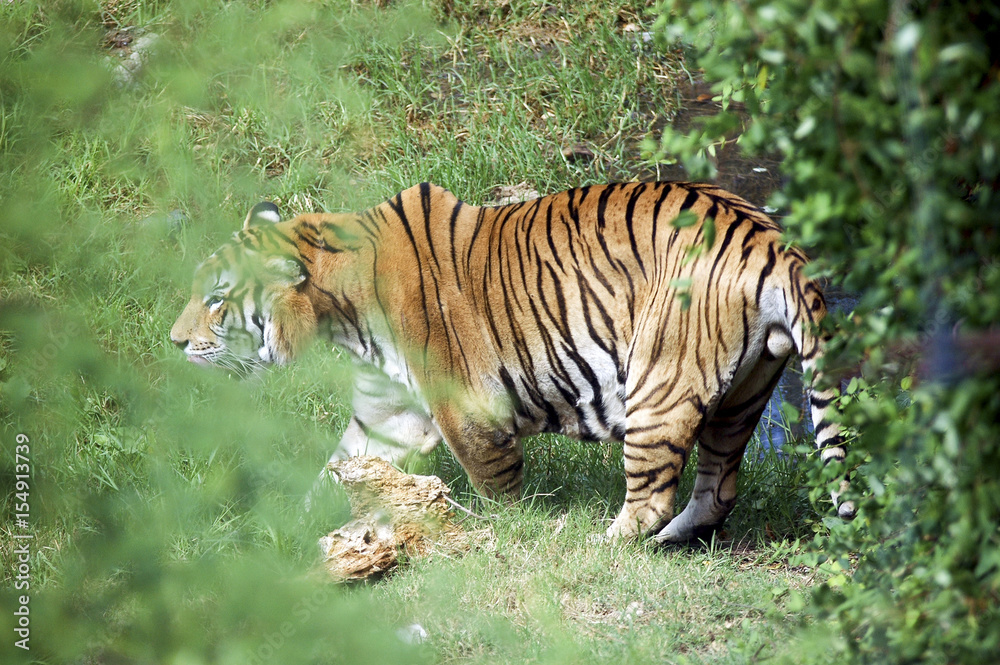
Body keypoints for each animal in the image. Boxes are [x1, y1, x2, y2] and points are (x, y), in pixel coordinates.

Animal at [170, 181, 853, 543]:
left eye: (217, 298)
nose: (174, 343)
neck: (340, 314)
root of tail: (772, 241)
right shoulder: (386, 418)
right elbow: (333, 472)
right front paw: (280, 529)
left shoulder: (469, 414)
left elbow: (496, 491)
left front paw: (504, 534)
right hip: (743, 396)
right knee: (717, 491)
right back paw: (668, 541)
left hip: (658, 385)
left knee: (652, 497)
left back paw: (600, 546)